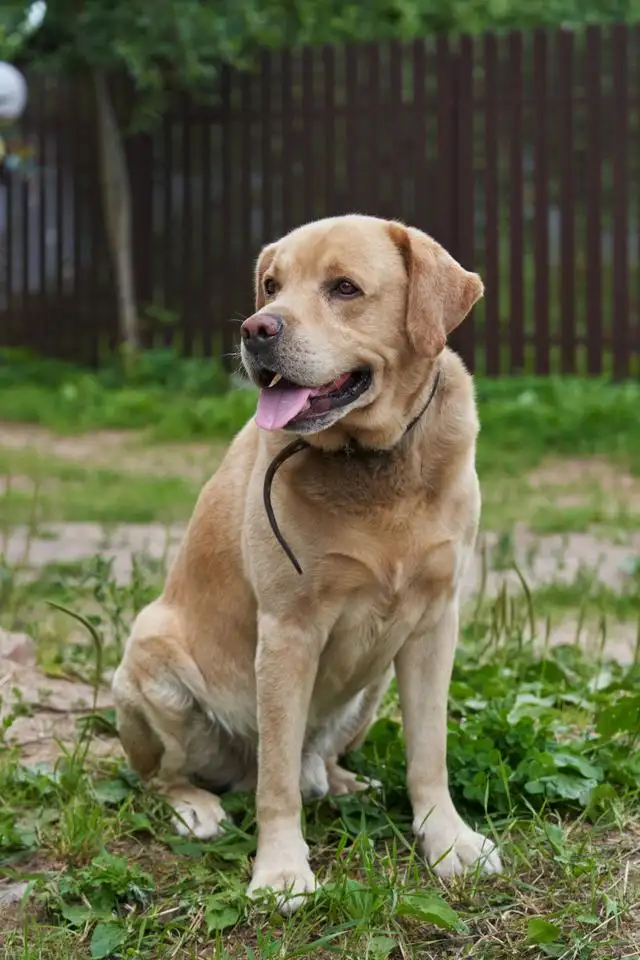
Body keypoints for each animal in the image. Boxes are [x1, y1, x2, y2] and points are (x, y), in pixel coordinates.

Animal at [112, 214, 502, 912]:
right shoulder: (288, 630)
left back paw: (341, 780)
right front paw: (281, 871)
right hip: (152, 661)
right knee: (174, 777)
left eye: (344, 287)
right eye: (271, 285)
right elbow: (276, 785)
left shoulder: (435, 623)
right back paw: (197, 807)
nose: (255, 329)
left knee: (314, 759)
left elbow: (428, 753)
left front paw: (448, 841)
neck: (371, 462)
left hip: (371, 690)